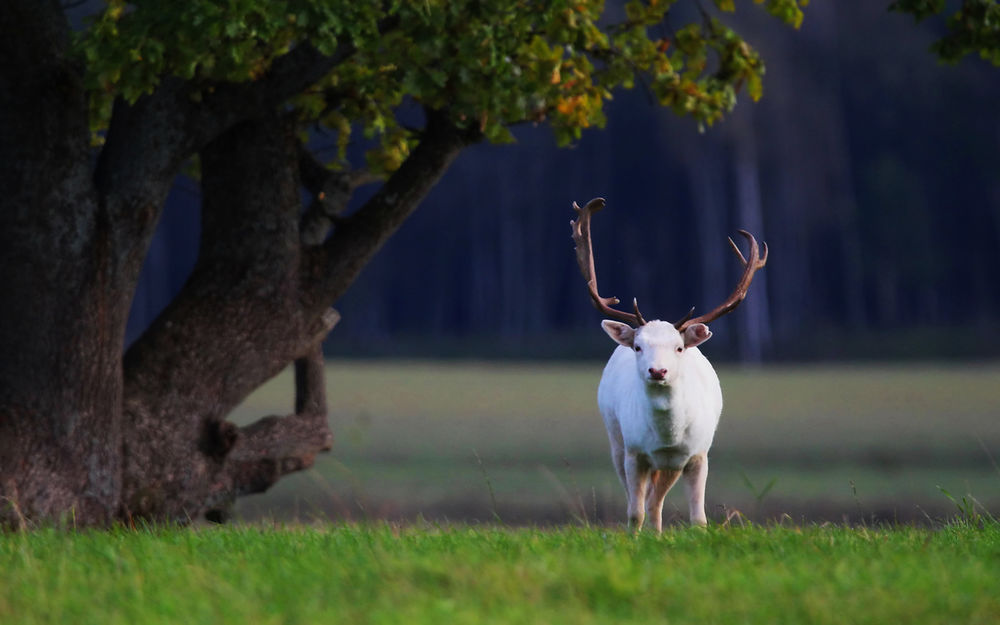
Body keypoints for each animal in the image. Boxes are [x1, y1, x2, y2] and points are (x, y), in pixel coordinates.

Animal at [570, 197, 767, 531]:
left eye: (678, 348)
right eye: (638, 347)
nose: (657, 371)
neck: (667, 438)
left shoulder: (696, 454)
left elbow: (698, 517)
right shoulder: (634, 452)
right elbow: (634, 512)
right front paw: (637, 537)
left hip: (670, 465)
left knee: (655, 501)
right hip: (616, 438)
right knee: (647, 500)